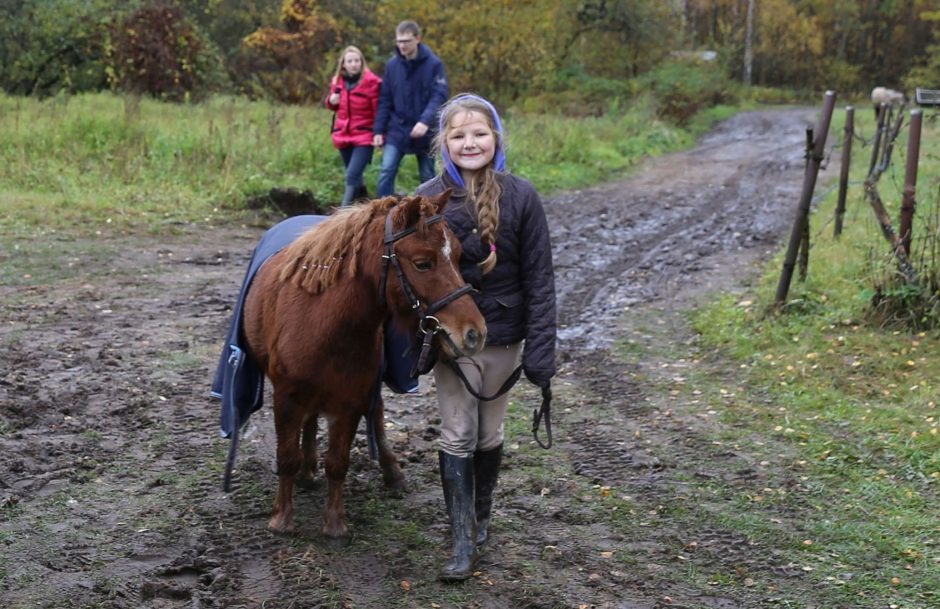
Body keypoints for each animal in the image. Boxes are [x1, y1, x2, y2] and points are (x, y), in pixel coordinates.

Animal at [242, 192, 484, 540]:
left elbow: (338, 461)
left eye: (460, 255)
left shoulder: (351, 400)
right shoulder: (287, 397)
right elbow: (286, 456)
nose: (475, 333)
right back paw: (306, 469)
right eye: (423, 263)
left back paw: (389, 471)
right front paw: (282, 520)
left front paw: (335, 524)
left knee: (376, 413)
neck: (323, 322)